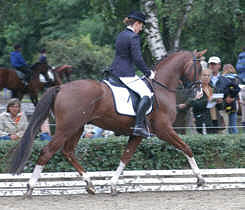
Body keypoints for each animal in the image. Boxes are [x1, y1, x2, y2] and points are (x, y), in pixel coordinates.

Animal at [11, 49, 207, 197]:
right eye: (199, 68)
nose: (199, 93)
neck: (161, 88)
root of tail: (61, 87)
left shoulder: (137, 134)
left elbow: (125, 157)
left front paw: (112, 185)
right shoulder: (164, 129)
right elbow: (186, 148)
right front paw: (200, 179)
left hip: (77, 128)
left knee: (68, 152)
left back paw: (90, 184)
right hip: (67, 128)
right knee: (47, 151)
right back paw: (30, 187)